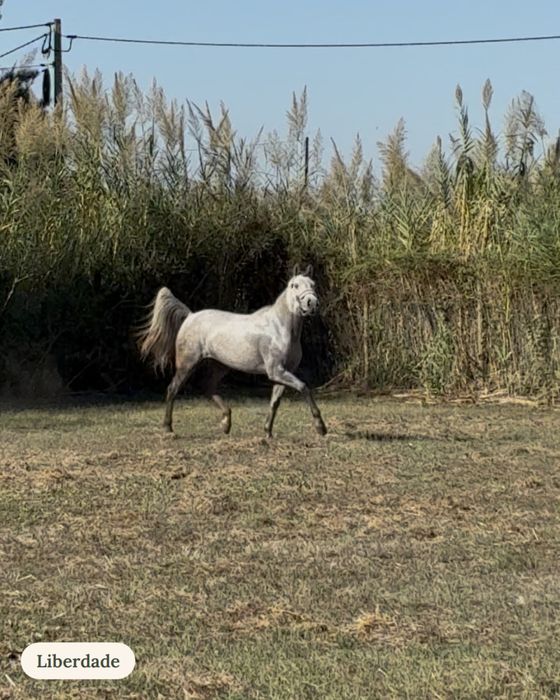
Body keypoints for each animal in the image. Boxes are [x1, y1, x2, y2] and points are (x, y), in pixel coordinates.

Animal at [138, 264, 327, 438]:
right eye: (295, 285)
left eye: (313, 284)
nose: (312, 303)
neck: (280, 328)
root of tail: (190, 316)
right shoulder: (276, 371)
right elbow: (304, 387)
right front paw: (321, 428)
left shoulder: (283, 372)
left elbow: (275, 403)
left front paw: (268, 433)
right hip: (187, 364)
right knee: (173, 389)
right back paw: (168, 428)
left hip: (220, 365)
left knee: (207, 387)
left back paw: (226, 423)